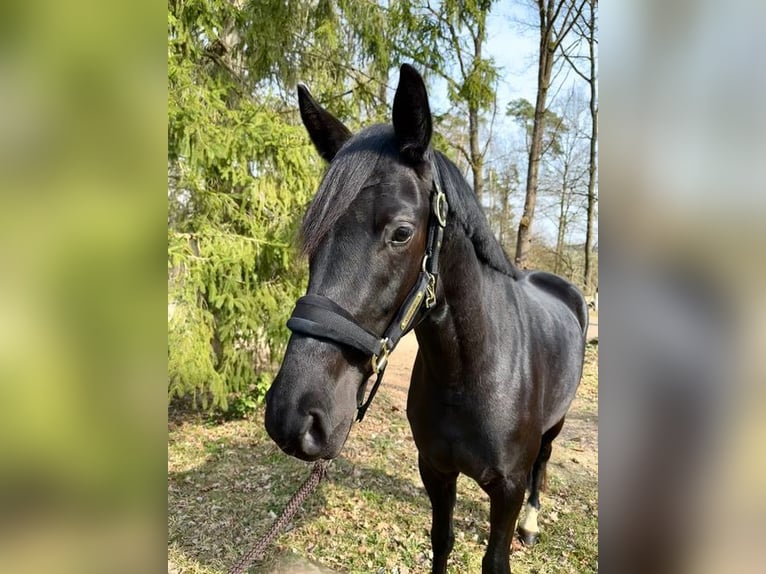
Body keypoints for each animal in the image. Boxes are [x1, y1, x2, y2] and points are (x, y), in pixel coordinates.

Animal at [264, 64, 588, 574]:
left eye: (401, 233)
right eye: (314, 231)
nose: (292, 416)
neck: (469, 373)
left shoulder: (508, 489)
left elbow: (495, 559)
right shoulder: (435, 469)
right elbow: (442, 539)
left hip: (554, 428)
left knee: (545, 461)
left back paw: (532, 526)